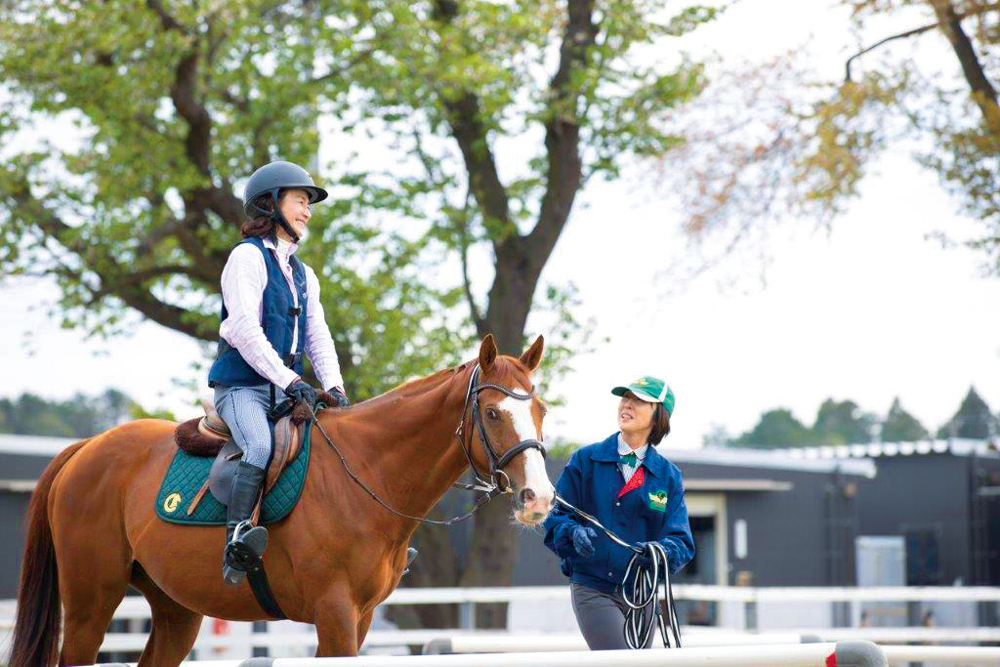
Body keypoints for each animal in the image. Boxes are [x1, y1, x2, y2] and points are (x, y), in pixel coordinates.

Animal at [9, 336, 556, 664]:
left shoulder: (359, 620)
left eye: (542, 410)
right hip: (90, 605)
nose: (539, 498)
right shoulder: (334, 616)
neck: (365, 473)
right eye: (491, 412)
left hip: (176, 612)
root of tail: (87, 448)